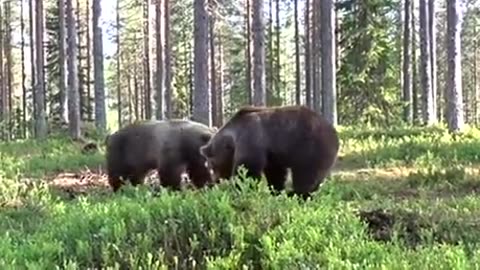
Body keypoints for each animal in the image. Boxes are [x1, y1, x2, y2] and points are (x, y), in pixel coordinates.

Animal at [199, 105, 342, 200]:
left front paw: (241, 189)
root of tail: (334, 134)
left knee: (306, 175)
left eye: (211, 165)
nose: (215, 180)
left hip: (310, 149)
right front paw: (276, 191)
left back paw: (296, 193)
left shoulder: (251, 139)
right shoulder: (273, 155)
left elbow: (248, 170)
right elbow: (275, 173)